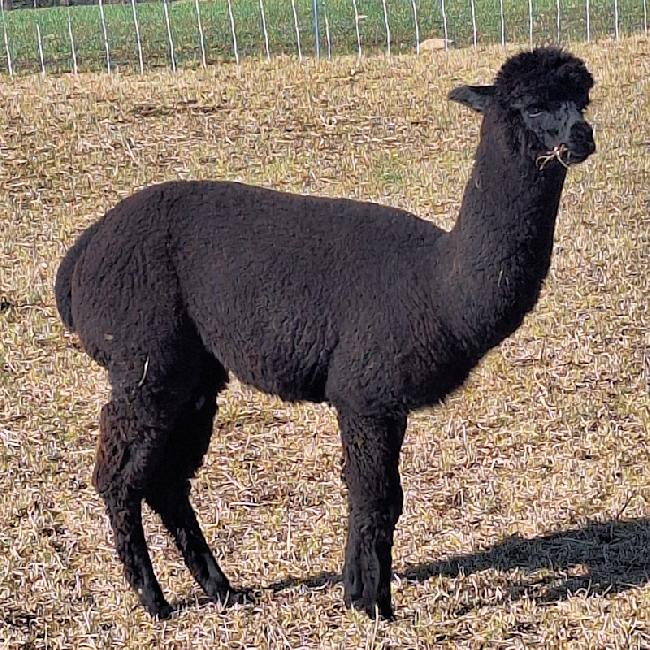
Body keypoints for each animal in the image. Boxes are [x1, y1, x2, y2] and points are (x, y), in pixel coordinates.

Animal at [55, 46, 595, 620]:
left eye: (583, 100)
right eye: (533, 106)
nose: (583, 136)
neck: (436, 285)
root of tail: (79, 257)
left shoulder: (382, 401)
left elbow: (383, 498)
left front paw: (361, 593)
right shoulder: (363, 393)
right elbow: (374, 497)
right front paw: (371, 603)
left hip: (192, 371)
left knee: (165, 479)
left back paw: (220, 588)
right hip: (145, 356)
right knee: (117, 475)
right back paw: (154, 600)